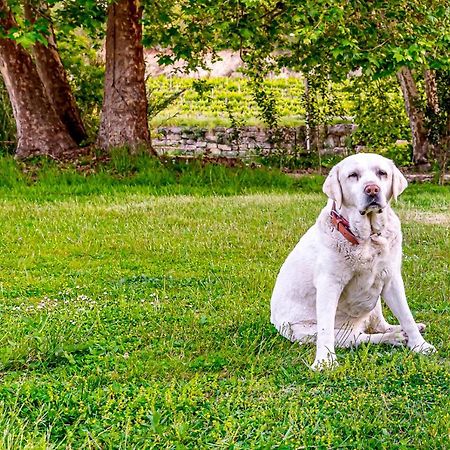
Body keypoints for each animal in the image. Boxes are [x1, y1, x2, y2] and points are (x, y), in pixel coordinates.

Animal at [270, 154, 436, 370]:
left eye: (382, 173)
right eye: (353, 175)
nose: (372, 189)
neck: (367, 238)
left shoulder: (391, 279)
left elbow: (406, 315)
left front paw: (420, 345)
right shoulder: (329, 284)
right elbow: (325, 330)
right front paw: (324, 361)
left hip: (375, 302)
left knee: (379, 325)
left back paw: (404, 330)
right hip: (307, 331)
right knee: (360, 336)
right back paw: (395, 337)